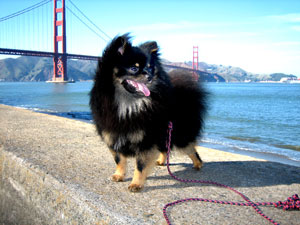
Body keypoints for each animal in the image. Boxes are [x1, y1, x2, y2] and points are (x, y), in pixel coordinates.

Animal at [89, 34, 207, 192]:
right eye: (134, 68)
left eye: (150, 68)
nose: (150, 76)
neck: (128, 104)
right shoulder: (113, 136)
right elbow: (119, 160)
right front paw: (119, 175)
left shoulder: (146, 140)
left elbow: (140, 166)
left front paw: (136, 184)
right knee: (165, 148)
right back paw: (162, 161)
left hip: (178, 136)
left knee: (191, 149)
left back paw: (198, 164)